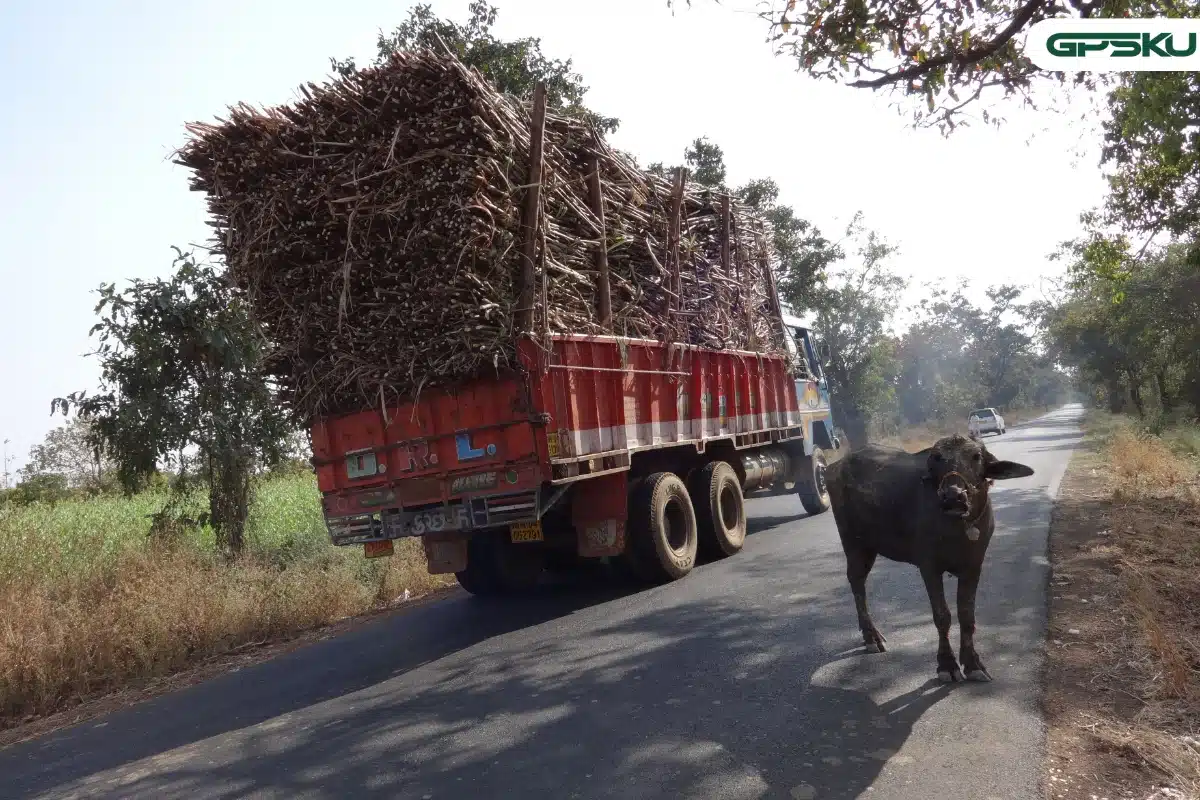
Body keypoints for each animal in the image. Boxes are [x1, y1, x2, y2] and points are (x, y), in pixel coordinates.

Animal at [830, 434, 1036, 686]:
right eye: (936, 458)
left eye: (976, 456)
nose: (953, 496)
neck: (957, 528)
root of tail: (836, 466)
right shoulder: (929, 567)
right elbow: (942, 616)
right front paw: (947, 665)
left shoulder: (973, 566)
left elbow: (967, 615)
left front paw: (973, 664)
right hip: (855, 544)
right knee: (857, 581)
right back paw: (871, 636)